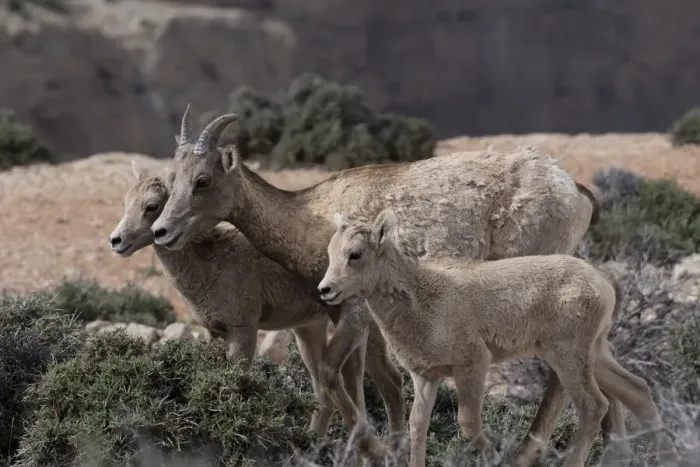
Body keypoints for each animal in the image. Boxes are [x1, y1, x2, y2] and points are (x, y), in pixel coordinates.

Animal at [107, 162, 401, 443]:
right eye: (127, 201)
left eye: (152, 206)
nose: (116, 240)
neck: (209, 266)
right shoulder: (214, 331)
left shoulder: (244, 329)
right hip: (310, 330)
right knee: (330, 389)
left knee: (383, 382)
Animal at [148, 108, 615, 461]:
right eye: (171, 182)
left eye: (203, 180)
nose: (161, 231)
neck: (313, 217)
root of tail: (575, 192)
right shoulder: (356, 318)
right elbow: (376, 381)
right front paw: (383, 448)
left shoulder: (354, 312)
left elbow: (332, 374)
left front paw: (365, 448)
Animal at [317, 209, 680, 467]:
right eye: (331, 252)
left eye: (355, 254)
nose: (326, 289)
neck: (424, 300)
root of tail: (604, 284)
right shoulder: (425, 377)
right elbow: (417, 425)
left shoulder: (473, 365)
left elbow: (467, 421)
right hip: (596, 352)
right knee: (637, 391)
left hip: (569, 356)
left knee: (594, 406)